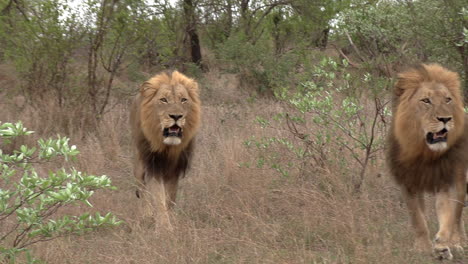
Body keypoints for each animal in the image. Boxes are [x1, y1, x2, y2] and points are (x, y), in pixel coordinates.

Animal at [129, 70, 200, 227]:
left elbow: (170, 199)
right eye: (163, 100)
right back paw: (146, 215)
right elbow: (158, 198)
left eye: (183, 100)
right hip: (139, 160)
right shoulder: (154, 165)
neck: (169, 148)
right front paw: (164, 228)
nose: (176, 116)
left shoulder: (175, 169)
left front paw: (172, 220)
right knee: (141, 187)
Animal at [388, 64, 468, 260]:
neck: (424, 154)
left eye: (448, 99)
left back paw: (457, 244)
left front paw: (443, 246)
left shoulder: (448, 181)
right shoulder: (408, 183)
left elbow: (448, 215)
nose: (445, 119)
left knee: (458, 215)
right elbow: (418, 219)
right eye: (426, 100)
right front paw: (422, 248)